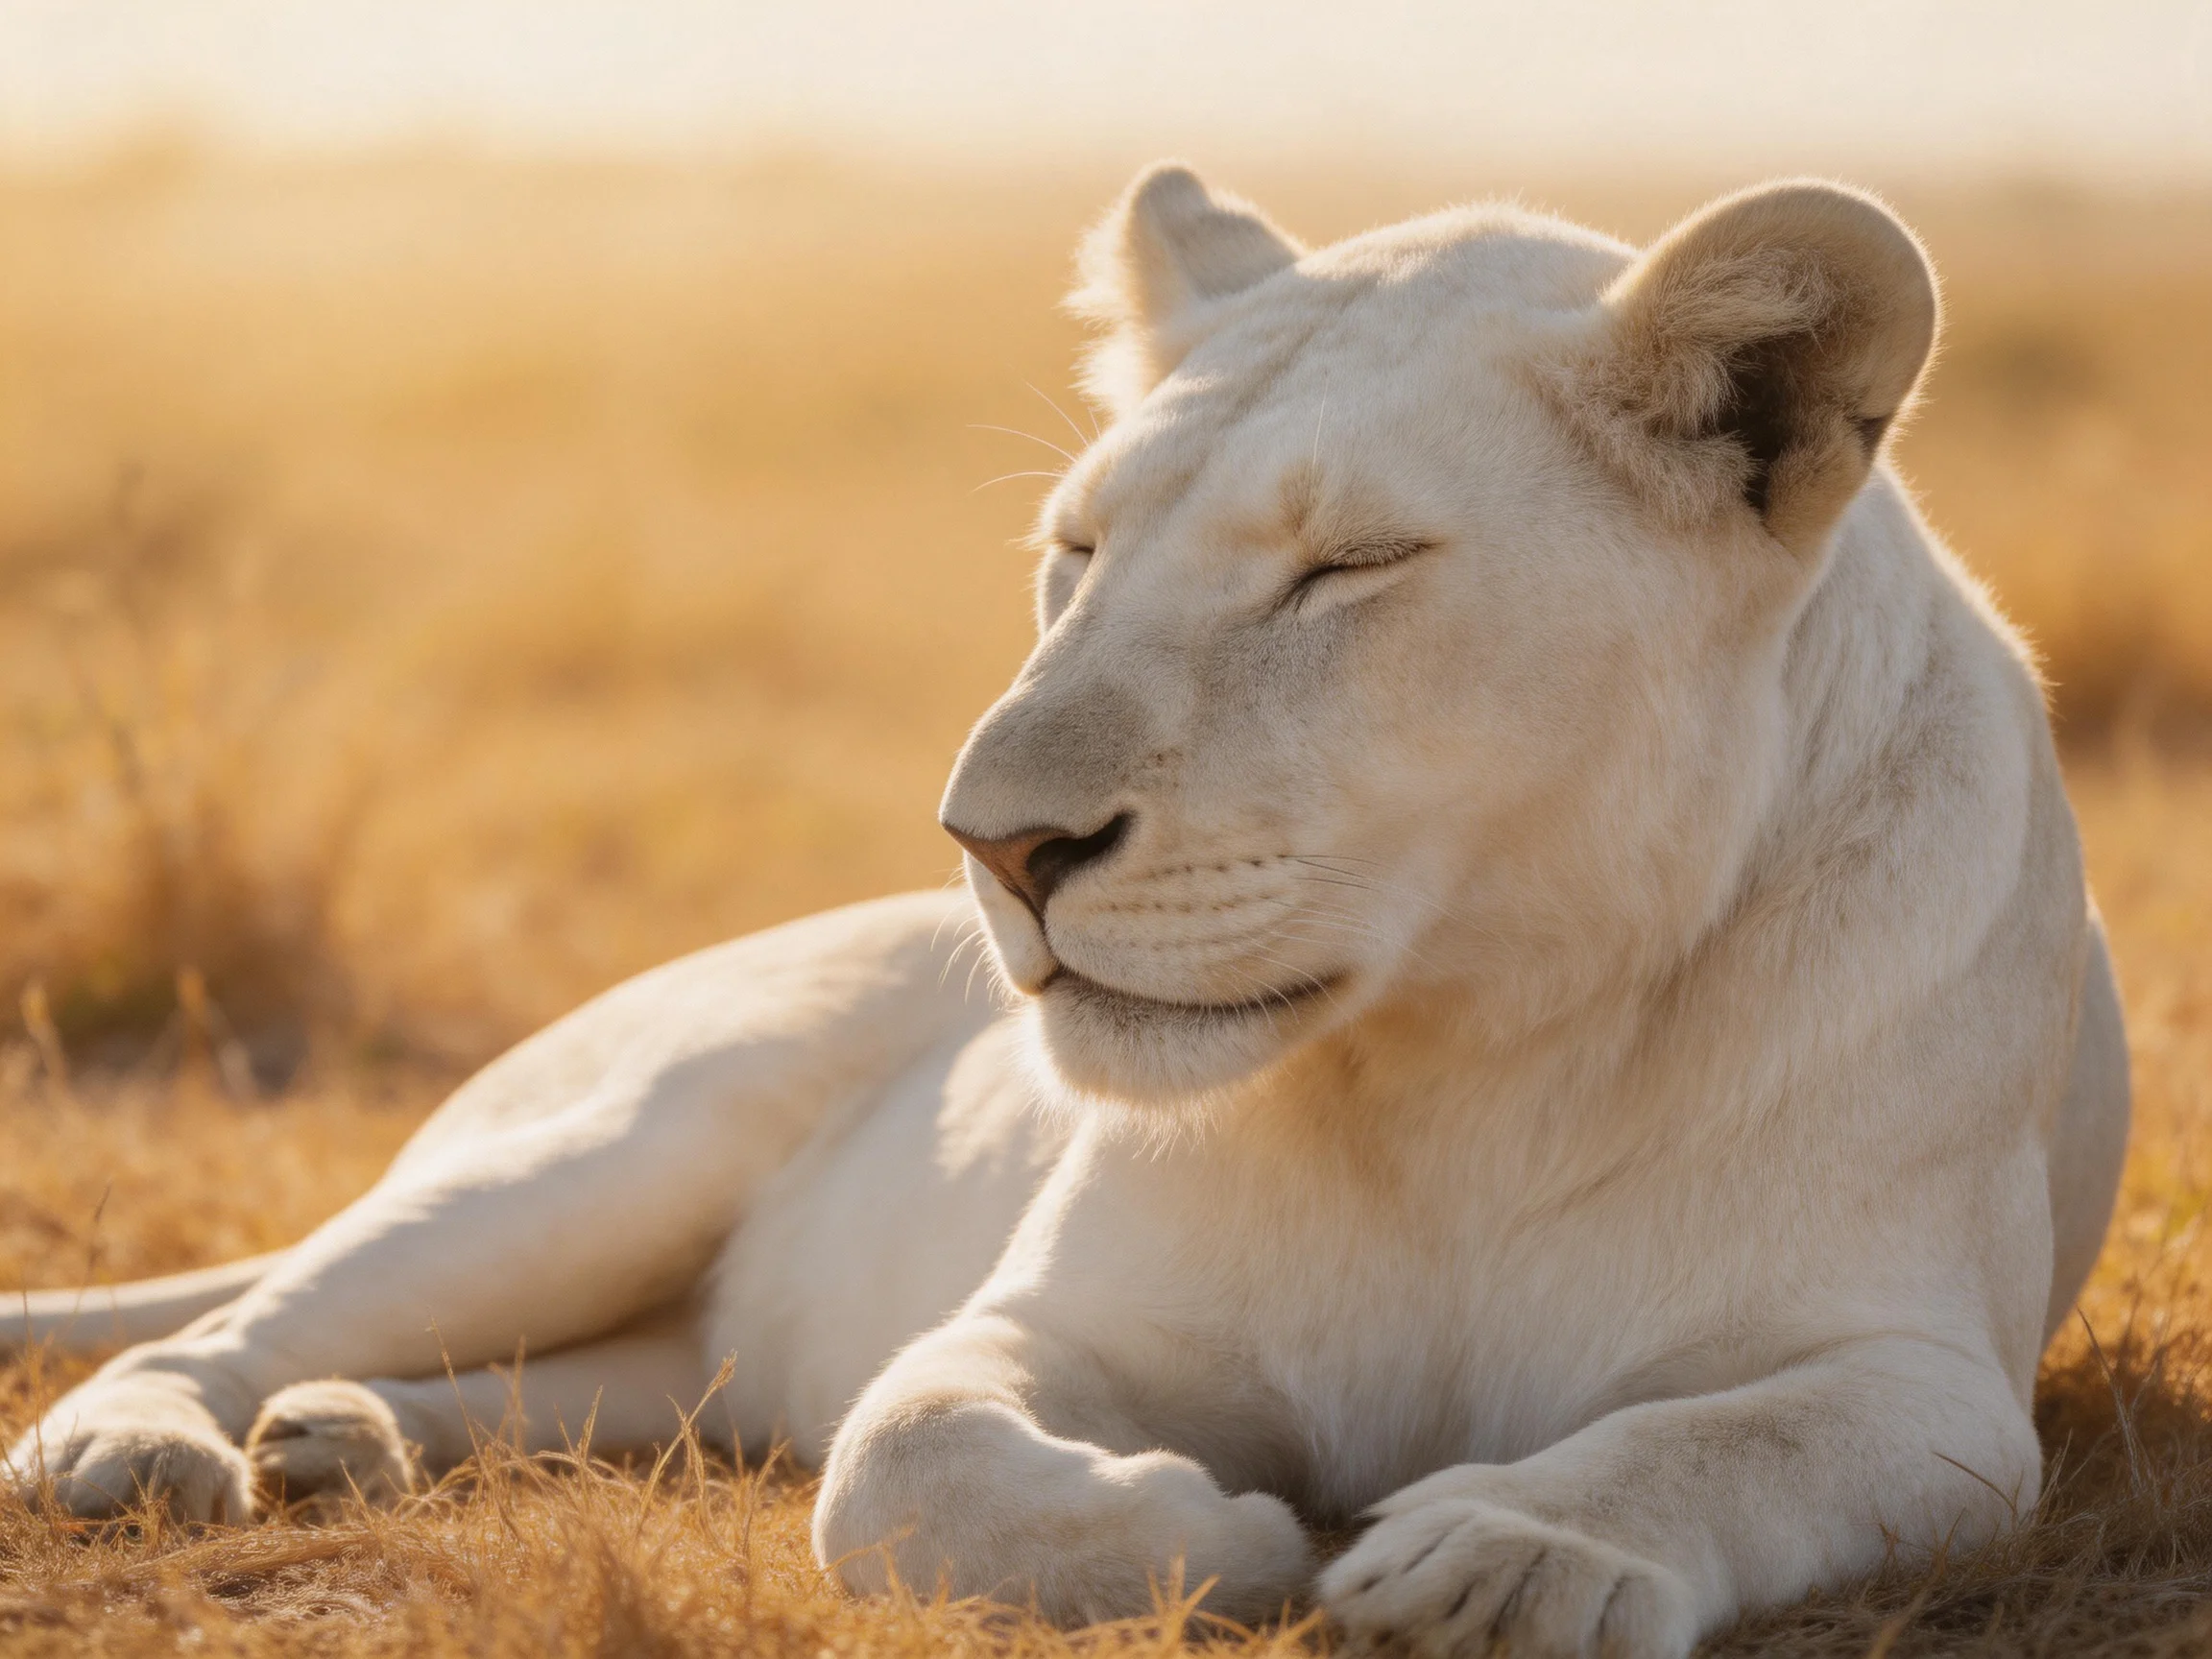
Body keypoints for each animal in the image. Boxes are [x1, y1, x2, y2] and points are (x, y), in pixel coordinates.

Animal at [7, 166, 2128, 1659]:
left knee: (611, 1383)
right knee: (257, 1313)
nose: (995, 842)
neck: (1467, 1057)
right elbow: (912, 1453)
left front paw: (1506, 1553)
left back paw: (346, 1437)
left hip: (672, 1340)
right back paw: (142, 1447)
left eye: (1345, 566)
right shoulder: (1038, 1318)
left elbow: (1719, 1435)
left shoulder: (1929, 1383)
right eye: (1076, 550)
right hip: (607, 1146)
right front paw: (1236, 1536)